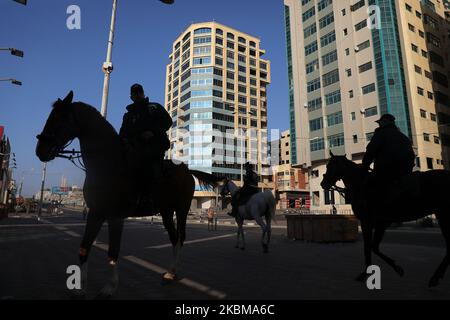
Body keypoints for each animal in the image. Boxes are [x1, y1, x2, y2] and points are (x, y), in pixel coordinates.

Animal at [35, 91, 221, 298]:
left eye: (61, 118)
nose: (40, 150)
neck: (107, 163)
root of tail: (187, 170)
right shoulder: (95, 213)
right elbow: (84, 248)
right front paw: (80, 288)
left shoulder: (116, 217)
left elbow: (113, 252)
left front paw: (110, 287)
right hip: (166, 212)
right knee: (174, 238)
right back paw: (170, 273)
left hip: (181, 210)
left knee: (181, 237)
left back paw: (173, 272)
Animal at [322, 152, 448, 288]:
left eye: (330, 166)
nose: (323, 183)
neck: (362, 186)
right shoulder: (378, 224)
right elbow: (372, 247)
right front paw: (394, 267)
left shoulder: (371, 222)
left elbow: (370, 247)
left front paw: (389, 269)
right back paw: (435, 278)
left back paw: (435, 278)